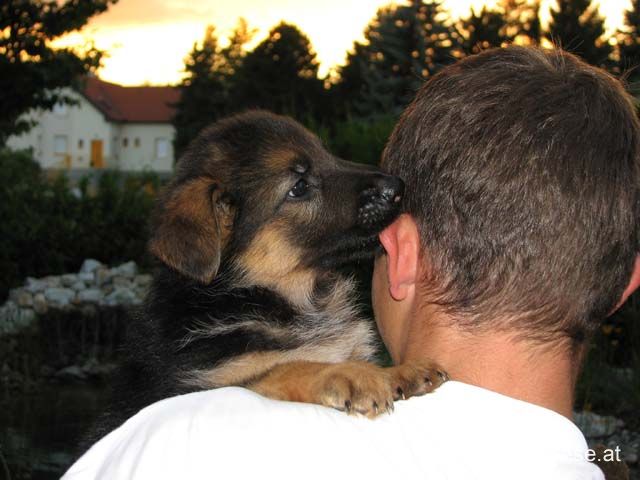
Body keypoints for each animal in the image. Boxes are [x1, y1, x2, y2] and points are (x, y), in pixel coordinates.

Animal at [94, 111, 446, 439]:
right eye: (299, 187)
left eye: (327, 154)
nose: (398, 187)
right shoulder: (203, 383)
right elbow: (287, 367)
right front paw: (349, 373)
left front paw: (400, 370)